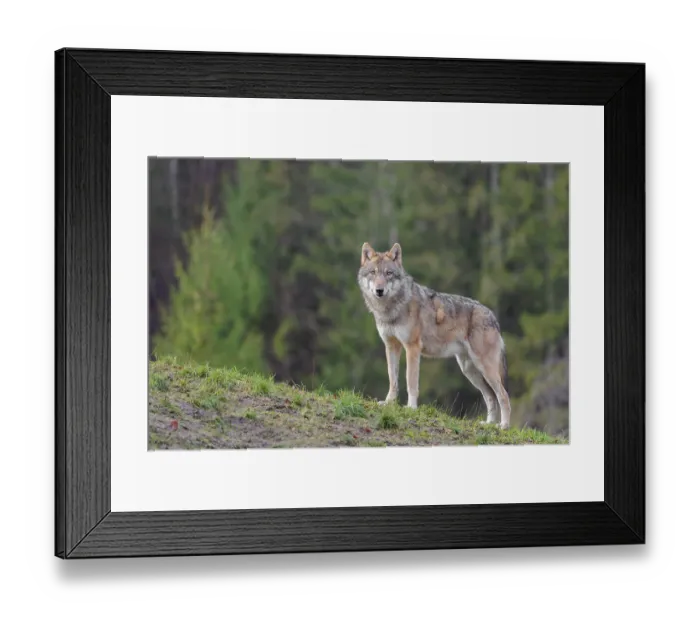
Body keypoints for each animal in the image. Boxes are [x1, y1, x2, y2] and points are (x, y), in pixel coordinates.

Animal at [357, 242, 511, 429]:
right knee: (490, 397)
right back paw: (488, 424)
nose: (379, 290)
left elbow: (411, 381)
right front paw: (389, 403)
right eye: (373, 273)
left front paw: (411, 408)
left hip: (485, 368)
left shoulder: (412, 348)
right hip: (470, 370)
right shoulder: (391, 346)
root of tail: (493, 317)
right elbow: (392, 379)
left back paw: (503, 426)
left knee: (503, 395)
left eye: (388, 273)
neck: (391, 310)